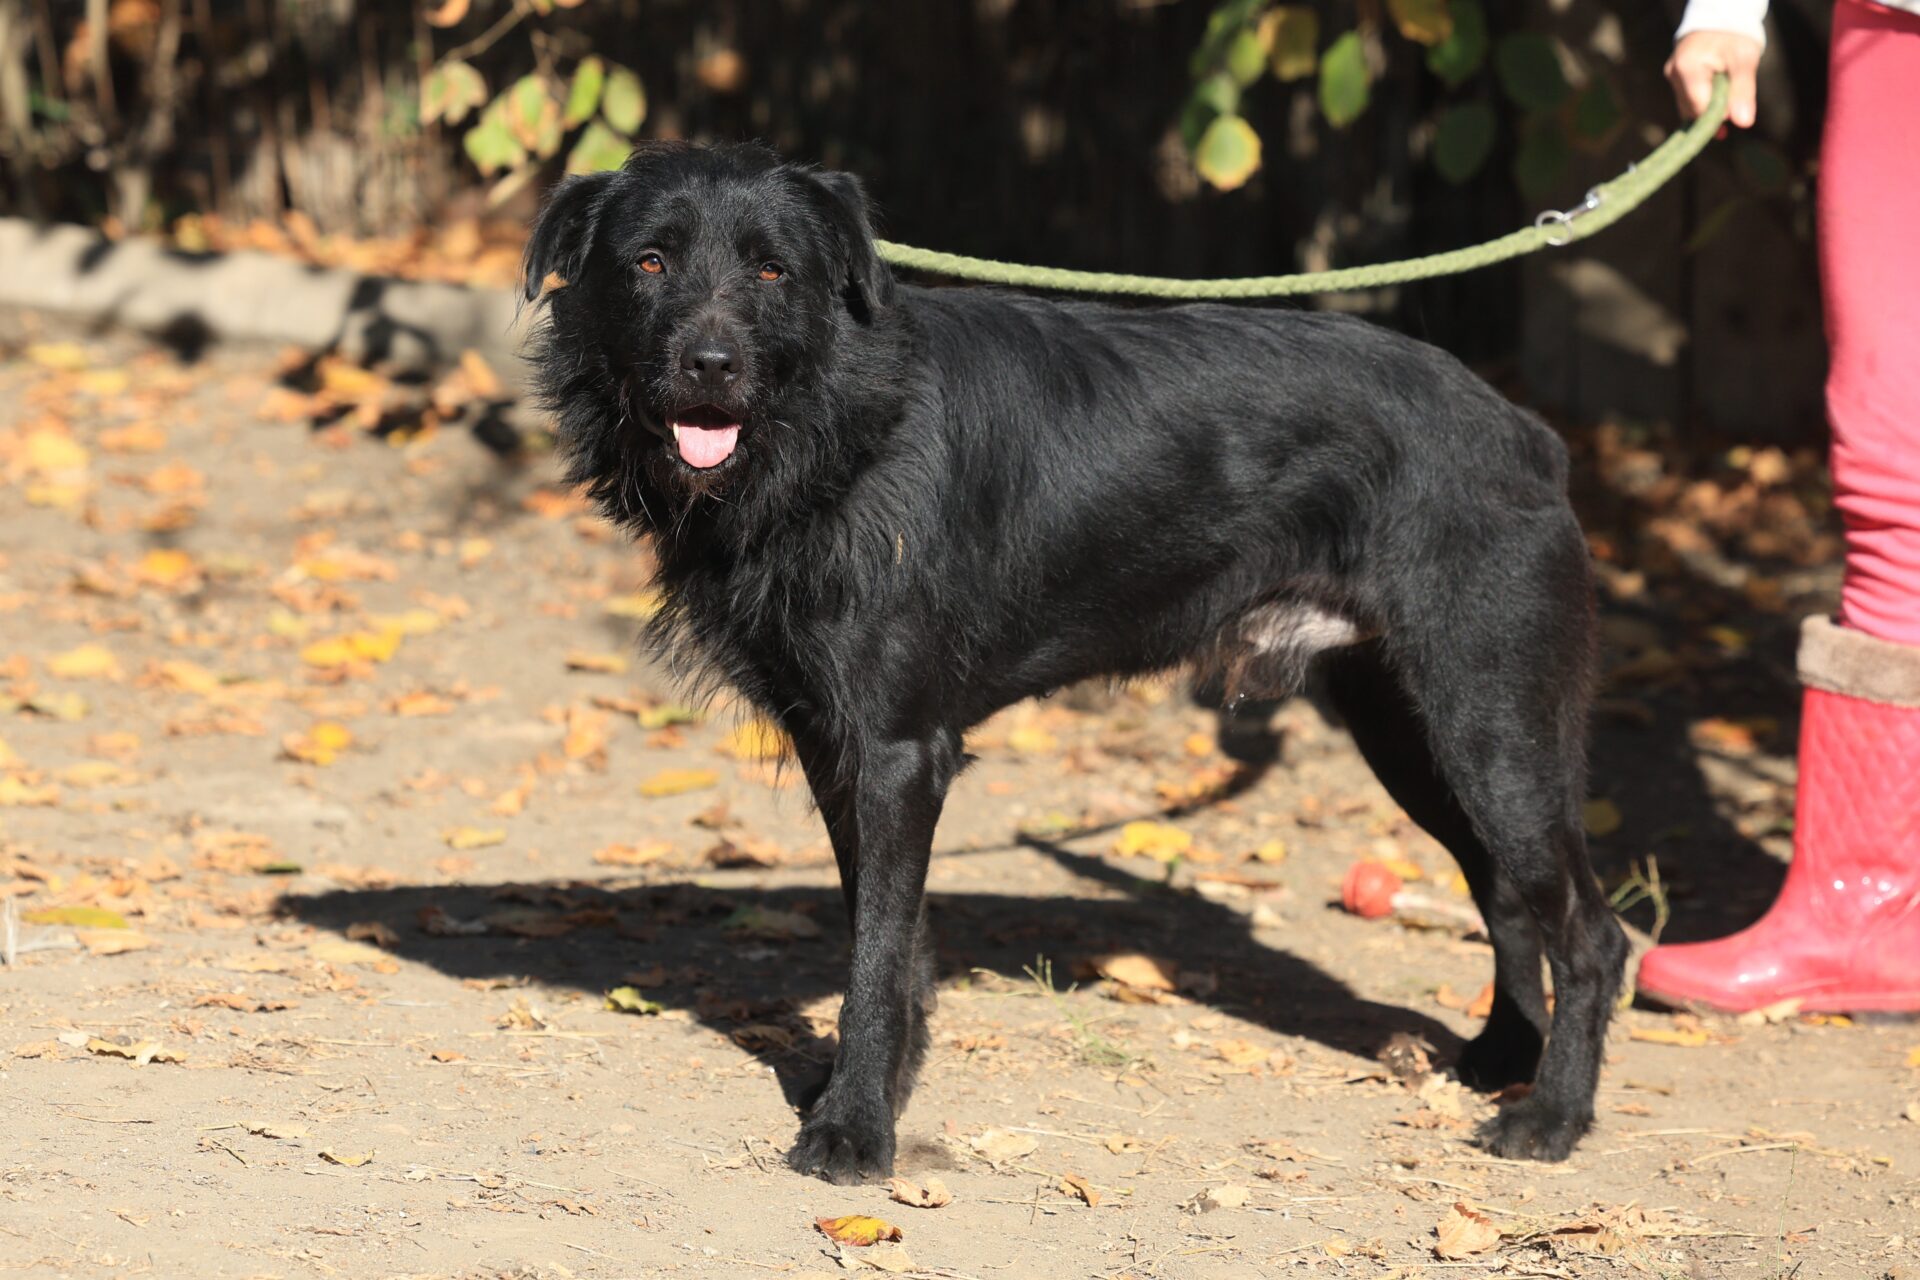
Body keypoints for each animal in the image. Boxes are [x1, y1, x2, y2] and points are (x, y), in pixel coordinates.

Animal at [522, 141, 1628, 1184]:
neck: (840, 424)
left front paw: (855, 1126)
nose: (709, 365)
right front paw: (888, 1078)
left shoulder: (897, 752)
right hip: (1414, 735)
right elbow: (894, 939)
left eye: (770, 269)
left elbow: (875, 953)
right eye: (650, 260)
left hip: (1492, 725)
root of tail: (1528, 435)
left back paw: (1553, 1117)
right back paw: (1502, 1054)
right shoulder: (837, 748)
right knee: (1505, 894)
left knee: (1590, 930)